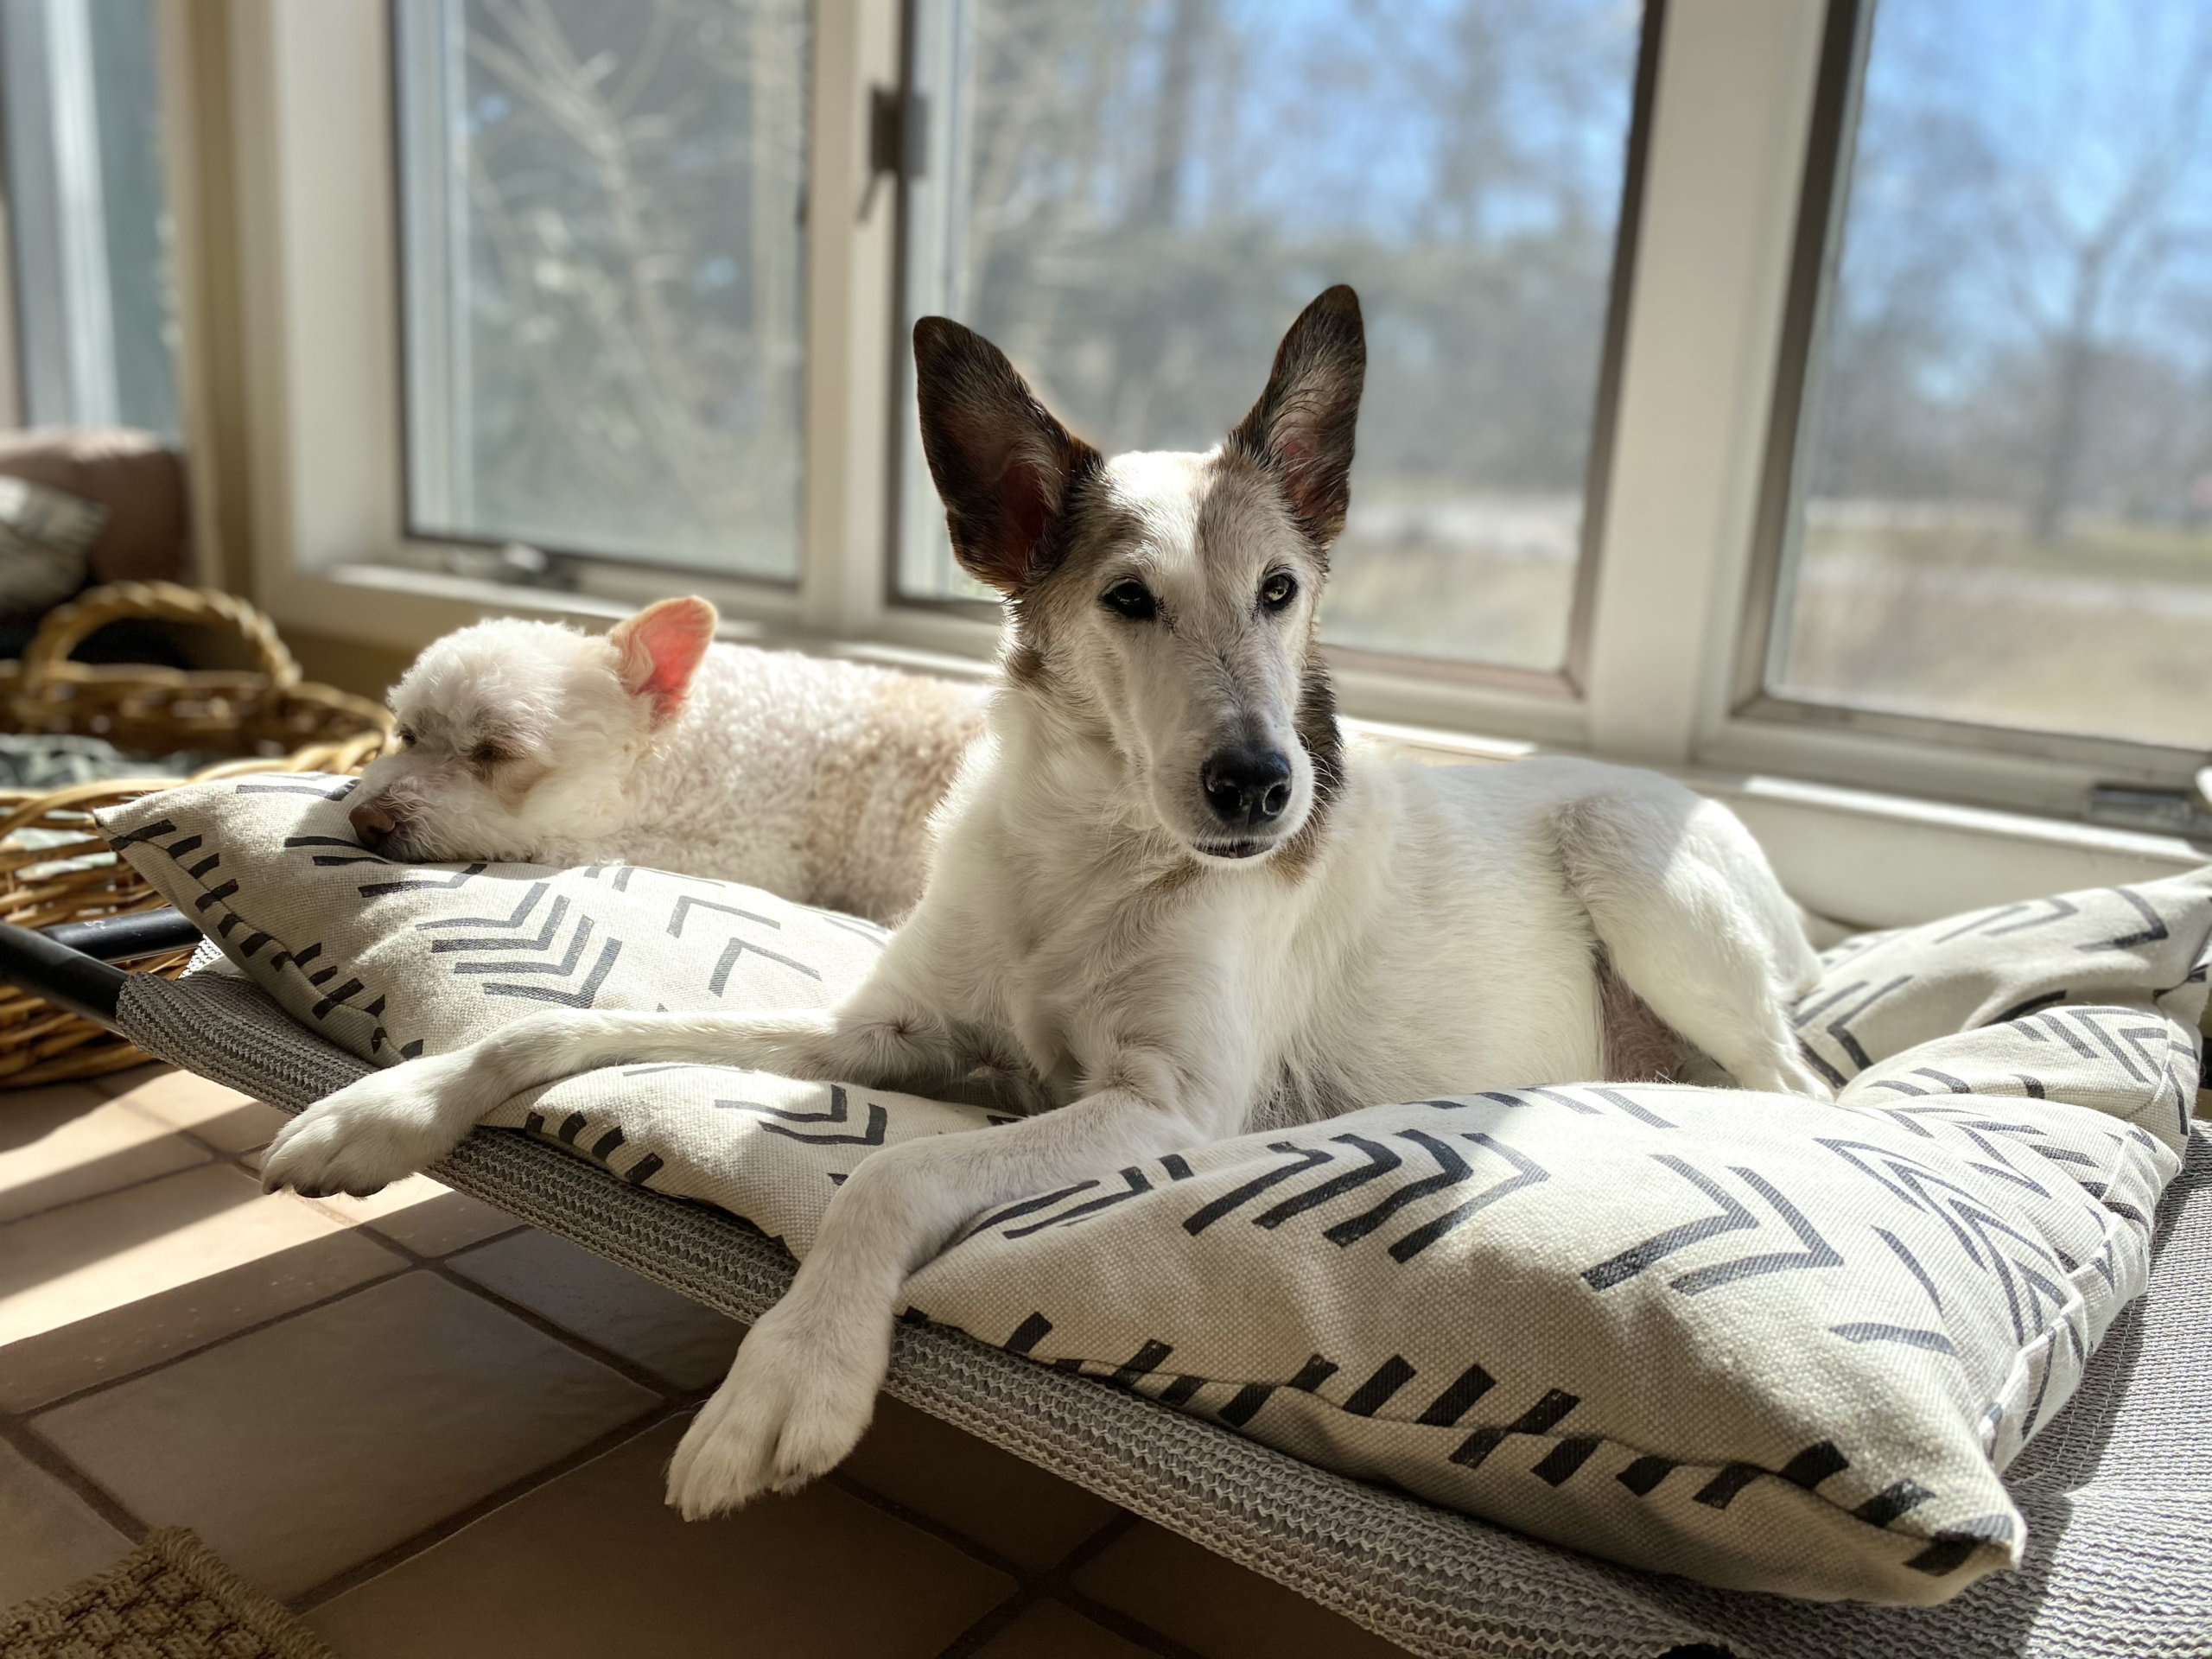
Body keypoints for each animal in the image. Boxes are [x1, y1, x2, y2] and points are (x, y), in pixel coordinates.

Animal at [263, 283, 1831, 1522]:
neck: (1092, 850)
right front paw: (386, 1110)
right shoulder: (882, 1033)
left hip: (1640, 868)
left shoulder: (1161, 1106)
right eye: (1130, 602)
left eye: (1281, 591)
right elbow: (559, 1028)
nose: (1264, 787)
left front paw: (793, 1373)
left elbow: (888, 1177)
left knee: (1807, 1091)